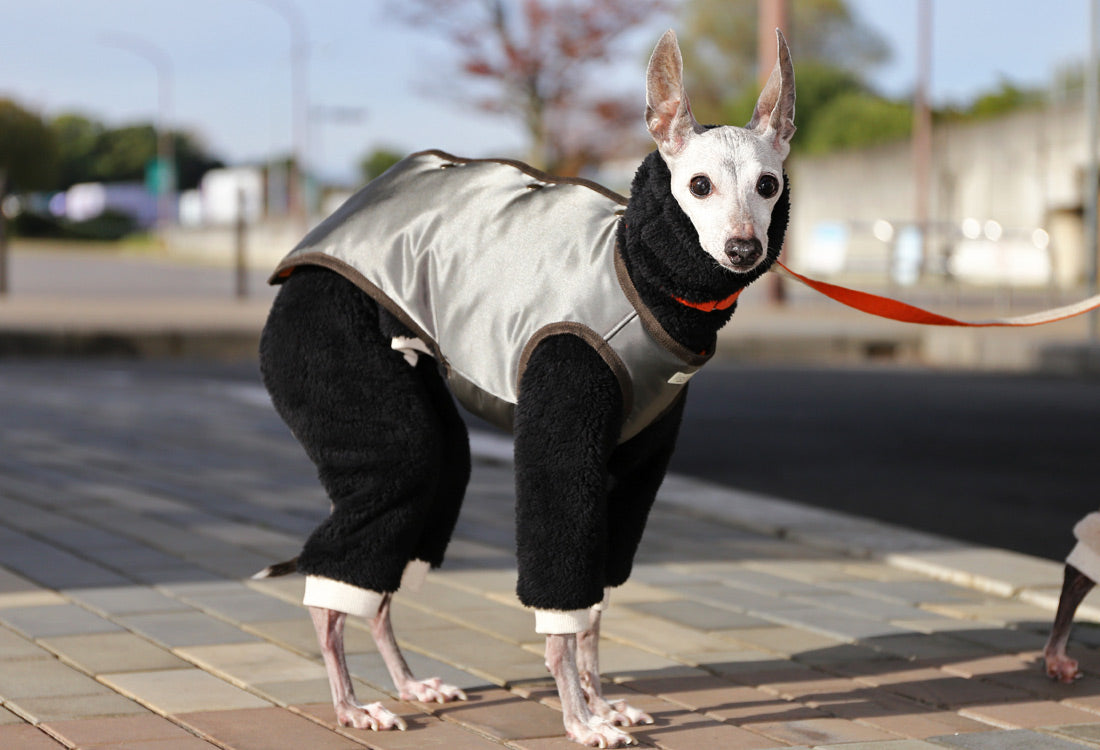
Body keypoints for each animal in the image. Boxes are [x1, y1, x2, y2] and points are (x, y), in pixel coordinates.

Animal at [254, 27, 796, 743]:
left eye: (767, 184)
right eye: (698, 185)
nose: (742, 249)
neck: (638, 274)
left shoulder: (630, 469)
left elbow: (592, 614)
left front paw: (601, 703)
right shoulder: (561, 438)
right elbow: (562, 614)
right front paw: (579, 720)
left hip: (426, 431)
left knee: (393, 564)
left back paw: (408, 683)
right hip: (338, 359)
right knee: (345, 568)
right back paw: (351, 702)